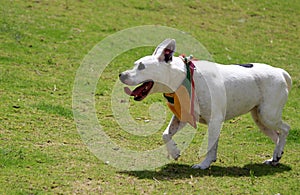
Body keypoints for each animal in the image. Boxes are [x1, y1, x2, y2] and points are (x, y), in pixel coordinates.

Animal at [119, 38, 290, 169]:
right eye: (135, 64)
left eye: (141, 67)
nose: (121, 74)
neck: (183, 77)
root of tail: (280, 72)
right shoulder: (182, 117)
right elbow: (165, 134)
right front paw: (174, 152)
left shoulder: (214, 121)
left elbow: (210, 147)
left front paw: (204, 164)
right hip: (260, 119)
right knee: (277, 136)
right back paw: (275, 157)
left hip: (268, 115)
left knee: (285, 129)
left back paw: (277, 153)